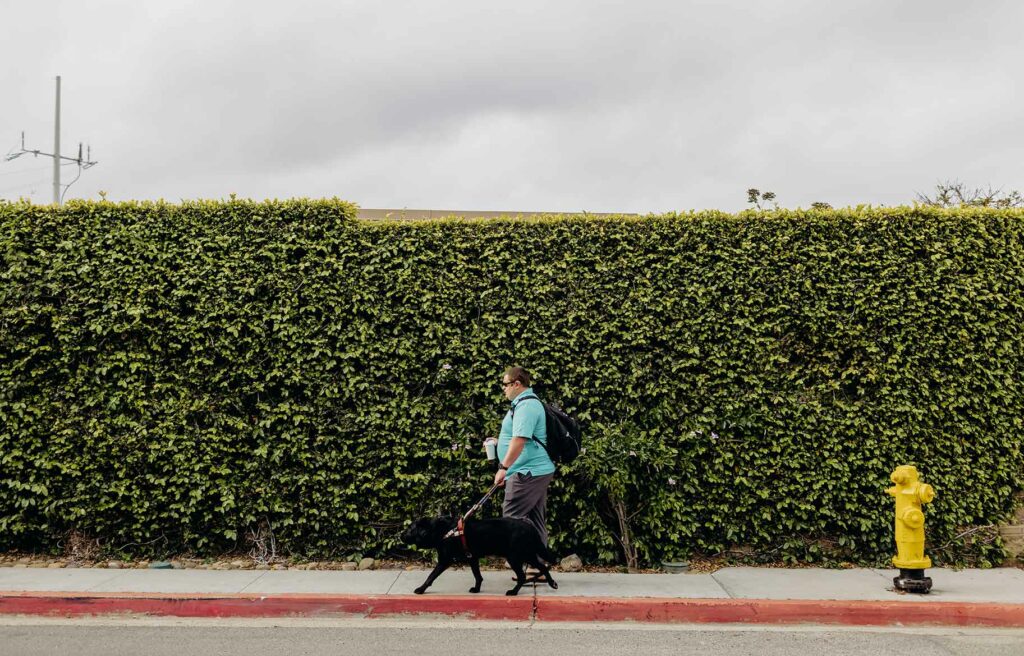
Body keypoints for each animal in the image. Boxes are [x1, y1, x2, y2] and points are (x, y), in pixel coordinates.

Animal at [401, 513, 561, 597]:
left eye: (409, 529)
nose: (400, 535)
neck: (442, 531)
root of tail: (531, 528)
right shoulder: (473, 558)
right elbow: (478, 576)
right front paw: (477, 589)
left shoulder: (445, 560)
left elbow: (431, 576)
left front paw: (421, 589)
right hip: (528, 554)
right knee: (543, 567)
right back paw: (552, 583)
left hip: (515, 556)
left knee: (523, 576)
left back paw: (513, 592)